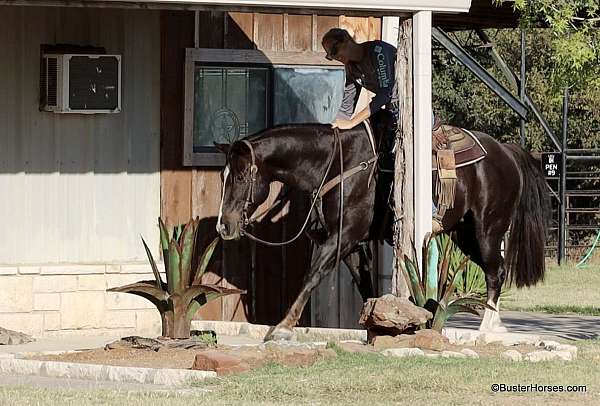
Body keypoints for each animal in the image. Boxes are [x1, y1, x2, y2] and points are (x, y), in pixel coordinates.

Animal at [214, 113, 548, 340]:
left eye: (241, 177)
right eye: (223, 176)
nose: (223, 226)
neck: (335, 165)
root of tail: (505, 152)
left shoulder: (342, 237)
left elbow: (311, 276)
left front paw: (282, 327)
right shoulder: (353, 245)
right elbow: (365, 288)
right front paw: (377, 327)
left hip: (487, 230)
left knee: (495, 271)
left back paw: (487, 327)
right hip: (464, 234)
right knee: (496, 270)